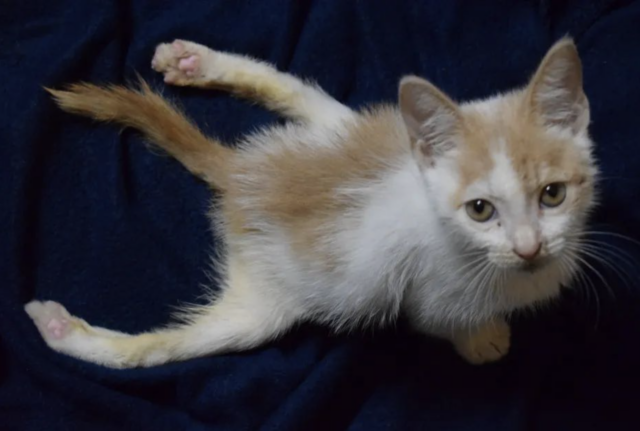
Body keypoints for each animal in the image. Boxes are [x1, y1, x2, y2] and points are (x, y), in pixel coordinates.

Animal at [23, 37, 596, 370]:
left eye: (553, 195)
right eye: (481, 209)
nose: (529, 248)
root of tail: (239, 172)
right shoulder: (426, 297)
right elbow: (442, 323)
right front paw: (481, 341)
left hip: (349, 125)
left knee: (295, 89)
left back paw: (196, 60)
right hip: (265, 309)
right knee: (160, 349)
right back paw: (61, 330)